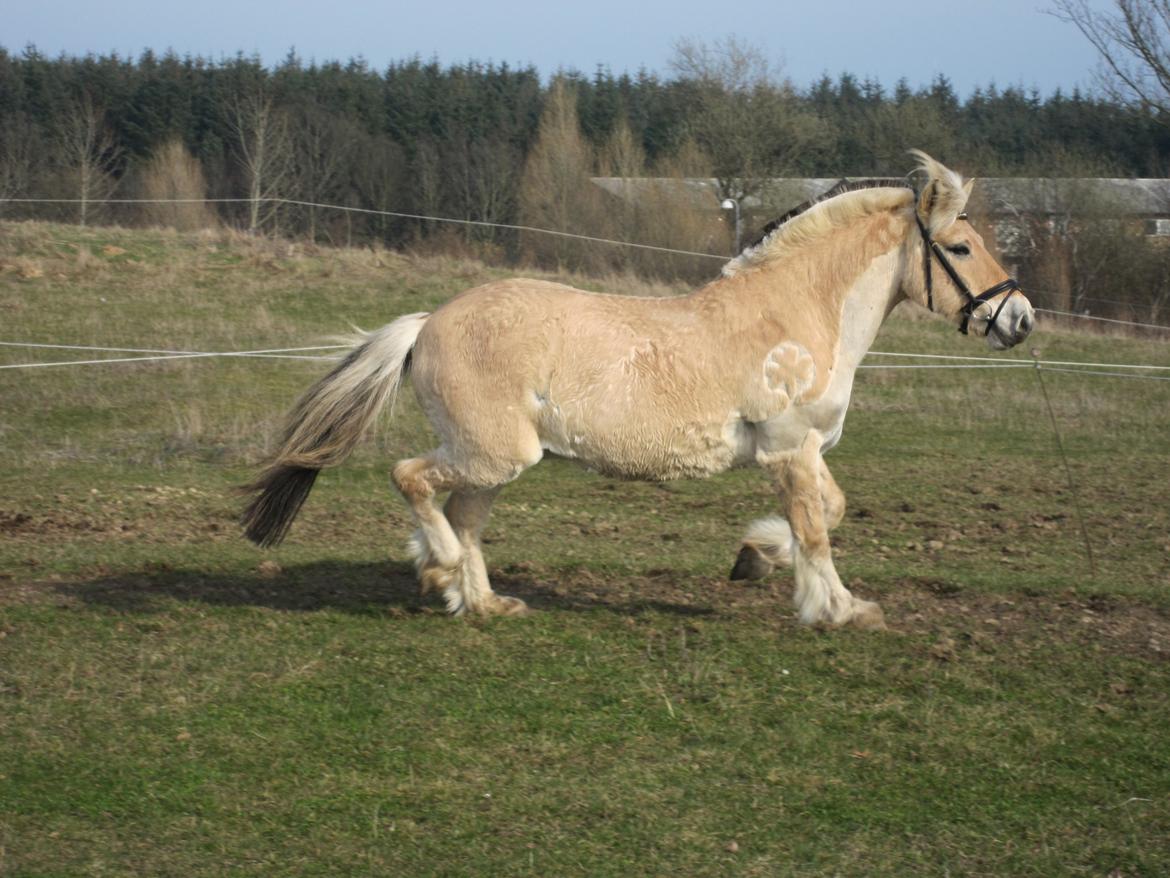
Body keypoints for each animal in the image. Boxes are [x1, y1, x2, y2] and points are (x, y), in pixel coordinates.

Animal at [239, 153, 1034, 632]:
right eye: (960, 247)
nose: (1020, 319)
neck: (790, 315)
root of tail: (427, 323)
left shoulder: (803, 451)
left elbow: (826, 514)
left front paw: (756, 558)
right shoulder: (788, 450)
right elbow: (815, 527)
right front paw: (839, 609)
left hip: (492, 460)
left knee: (463, 516)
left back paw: (484, 600)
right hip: (492, 452)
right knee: (413, 481)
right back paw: (437, 573)